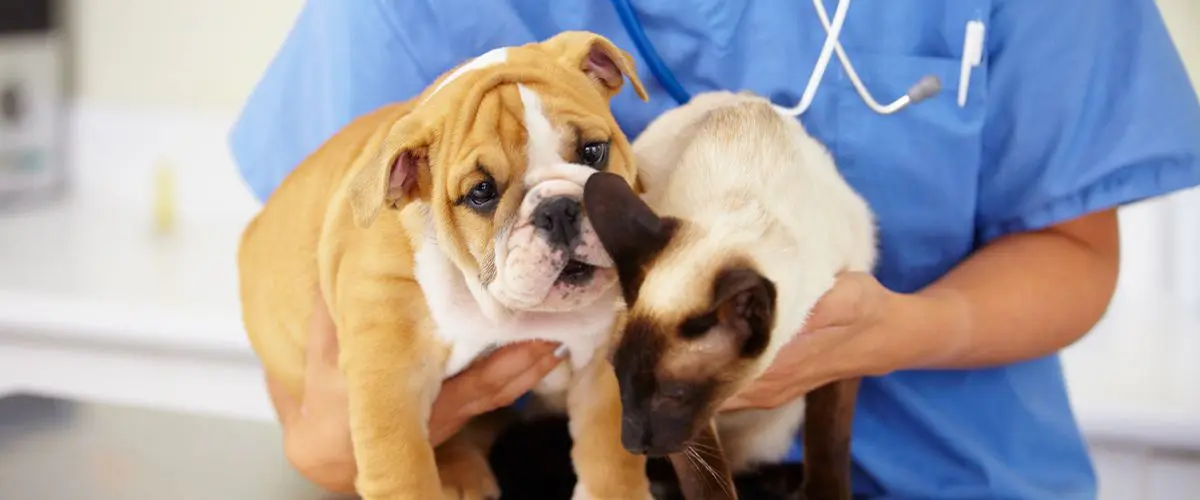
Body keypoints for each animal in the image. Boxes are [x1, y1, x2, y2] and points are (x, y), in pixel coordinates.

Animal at [235, 31, 657, 498]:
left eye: (593, 151)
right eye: (481, 192)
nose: (559, 209)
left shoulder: (602, 366)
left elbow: (610, 457)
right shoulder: (389, 380)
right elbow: (400, 470)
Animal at [583, 90, 878, 498]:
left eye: (672, 394)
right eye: (619, 374)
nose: (631, 444)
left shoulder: (840, 358)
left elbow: (828, 452)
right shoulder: (693, 433)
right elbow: (708, 484)